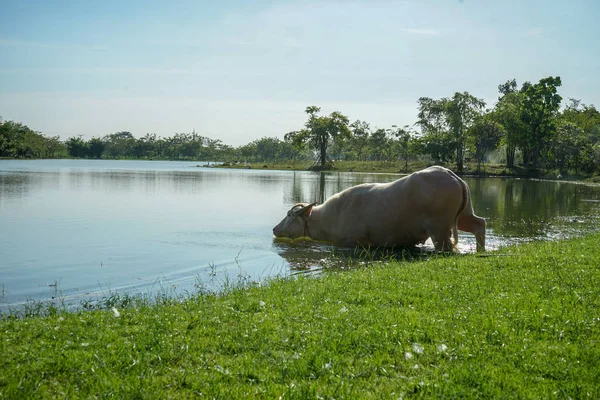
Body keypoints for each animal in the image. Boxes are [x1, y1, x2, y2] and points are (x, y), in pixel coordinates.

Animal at [274, 165, 486, 252]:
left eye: (289, 214)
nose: (275, 229)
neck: (328, 218)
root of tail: (451, 174)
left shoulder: (354, 241)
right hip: (464, 215)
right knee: (479, 224)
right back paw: (480, 250)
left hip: (439, 228)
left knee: (446, 247)